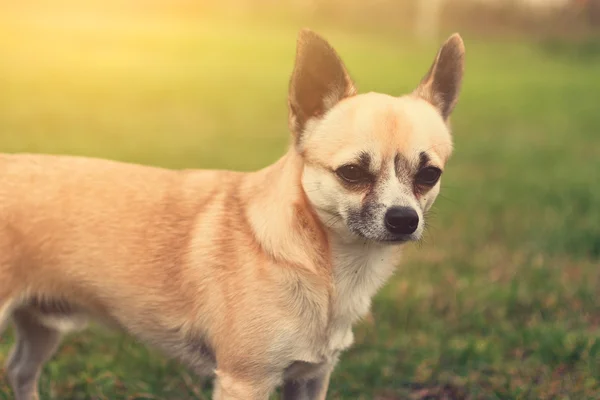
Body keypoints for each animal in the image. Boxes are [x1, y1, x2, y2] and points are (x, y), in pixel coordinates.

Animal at [0, 29, 466, 398]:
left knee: (20, 370)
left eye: (429, 175)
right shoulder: (245, 381)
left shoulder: (310, 378)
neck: (330, 267)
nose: (403, 218)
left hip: (42, 325)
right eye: (351, 173)